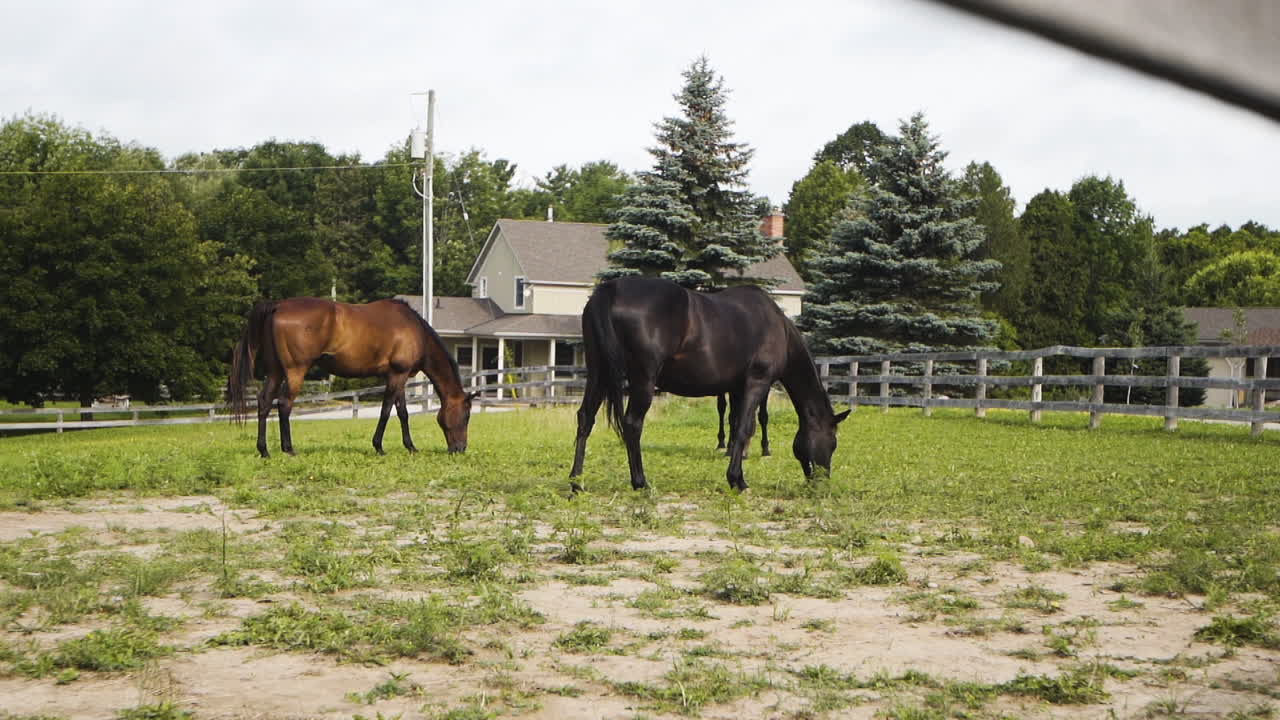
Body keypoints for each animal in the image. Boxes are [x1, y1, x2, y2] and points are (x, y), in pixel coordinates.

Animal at [227, 297, 474, 458]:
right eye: (466, 416)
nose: (460, 449)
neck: (414, 330)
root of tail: (277, 306)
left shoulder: (398, 377)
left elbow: (402, 413)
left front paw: (410, 447)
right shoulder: (397, 376)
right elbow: (386, 411)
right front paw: (379, 447)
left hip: (276, 372)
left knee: (265, 402)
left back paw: (264, 450)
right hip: (295, 371)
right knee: (285, 404)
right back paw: (288, 449)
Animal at [570, 276, 849, 491]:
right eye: (832, 442)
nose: (822, 481)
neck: (778, 327)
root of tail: (611, 288)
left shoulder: (736, 388)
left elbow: (736, 425)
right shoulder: (757, 382)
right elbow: (744, 428)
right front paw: (738, 481)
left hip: (598, 373)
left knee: (585, 418)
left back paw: (576, 483)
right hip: (643, 380)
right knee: (632, 424)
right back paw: (640, 483)